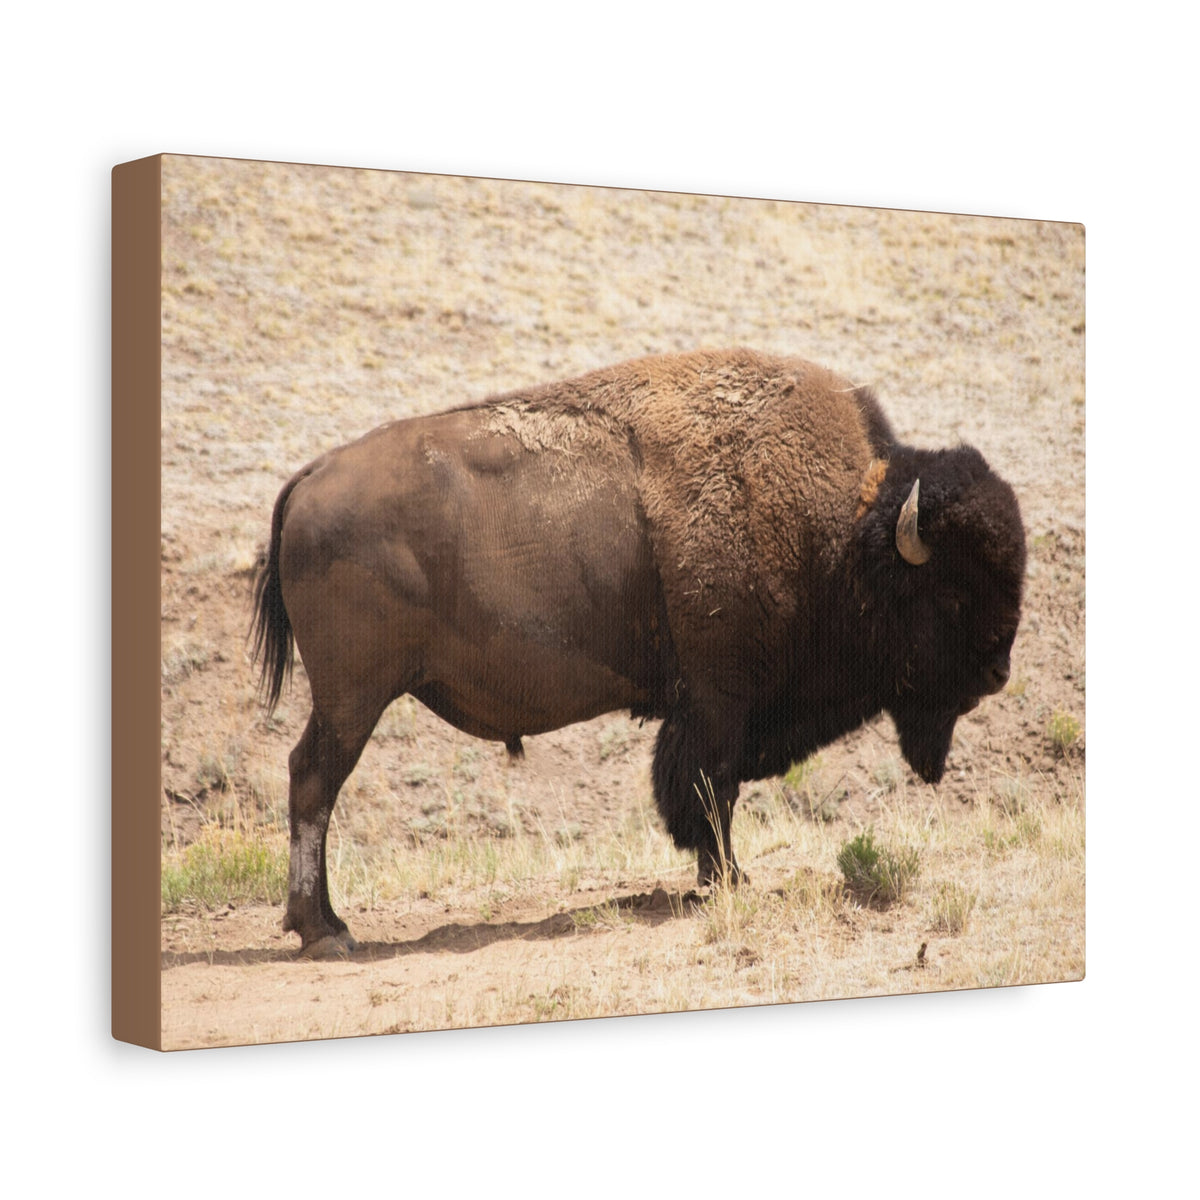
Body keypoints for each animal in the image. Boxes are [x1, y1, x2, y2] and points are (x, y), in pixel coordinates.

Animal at [252, 349, 1025, 956]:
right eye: (952, 592)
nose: (998, 672)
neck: (845, 534)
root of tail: (310, 478)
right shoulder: (718, 703)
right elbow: (710, 791)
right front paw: (729, 880)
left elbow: (711, 793)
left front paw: (721, 879)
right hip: (353, 697)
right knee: (314, 781)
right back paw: (325, 932)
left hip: (349, 698)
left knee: (311, 781)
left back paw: (323, 924)